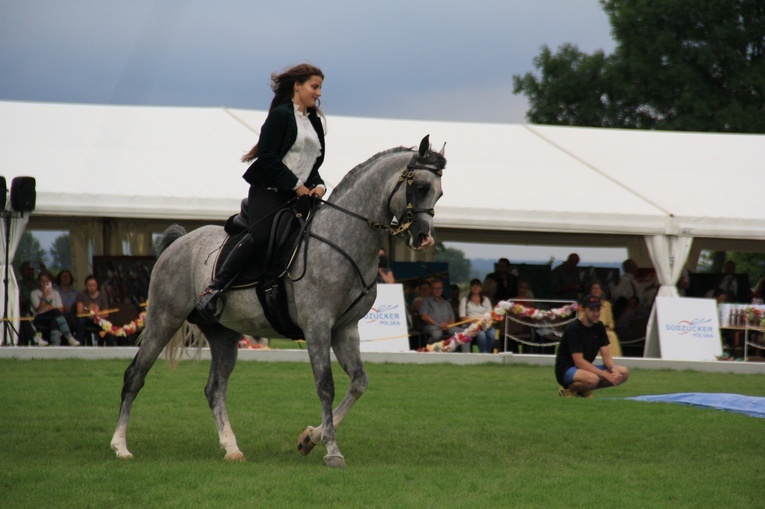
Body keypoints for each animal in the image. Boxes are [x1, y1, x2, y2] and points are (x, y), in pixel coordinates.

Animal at [107, 134, 442, 464]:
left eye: (439, 194)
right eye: (421, 187)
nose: (424, 239)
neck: (343, 239)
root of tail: (179, 243)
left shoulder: (345, 329)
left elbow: (359, 382)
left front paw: (310, 437)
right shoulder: (317, 326)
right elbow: (326, 385)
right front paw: (331, 450)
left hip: (223, 334)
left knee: (215, 388)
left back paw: (231, 448)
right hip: (164, 319)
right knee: (135, 375)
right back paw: (121, 446)